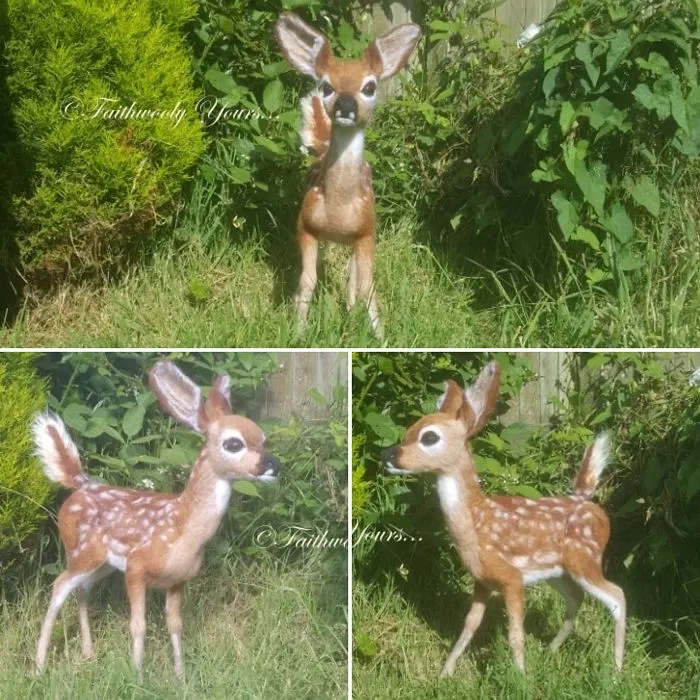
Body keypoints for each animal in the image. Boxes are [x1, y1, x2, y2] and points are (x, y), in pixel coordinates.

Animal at [32, 360, 281, 679]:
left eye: (263, 439)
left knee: (82, 589)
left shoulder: (179, 579)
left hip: (102, 563)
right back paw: (39, 666)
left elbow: (175, 625)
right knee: (59, 586)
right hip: (83, 550)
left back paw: (88, 653)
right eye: (233, 444)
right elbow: (139, 625)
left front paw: (180, 677)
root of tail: (80, 484)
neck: (182, 529)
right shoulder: (136, 567)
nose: (274, 465)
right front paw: (137, 676)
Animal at [274, 11, 421, 338]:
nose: (345, 104)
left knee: (353, 281)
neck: (338, 207)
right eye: (326, 86)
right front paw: (298, 332)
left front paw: (381, 337)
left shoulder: (367, 230)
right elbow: (307, 281)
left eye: (370, 87)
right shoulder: (305, 224)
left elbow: (368, 287)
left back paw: (352, 318)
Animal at [381, 361, 626, 677]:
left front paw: (521, 676)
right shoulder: (483, 580)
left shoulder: (512, 578)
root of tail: (587, 500)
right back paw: (551, 650)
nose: (388, 455)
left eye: (429, 437)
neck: (477, 523)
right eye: (410, 430)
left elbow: (514, 632)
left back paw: (617, 670)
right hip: (558, 571)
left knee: (618, 596)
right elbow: (469, 625)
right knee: (576, 598)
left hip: (585, 559)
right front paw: (445, 672)